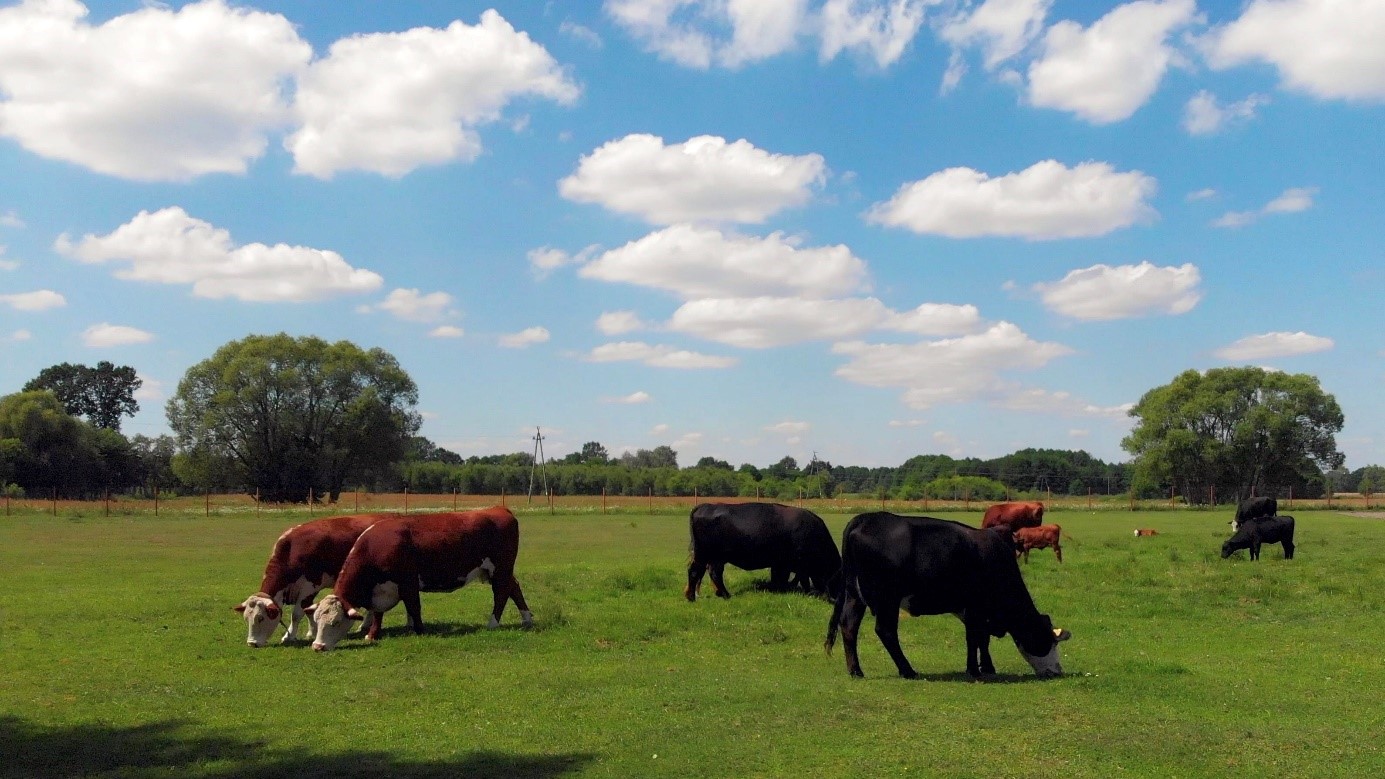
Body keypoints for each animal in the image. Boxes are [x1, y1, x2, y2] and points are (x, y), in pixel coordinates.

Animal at [232, 512, 393, 645]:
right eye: (246, 618)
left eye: (260, 618)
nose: (252, 643)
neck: (291, 550)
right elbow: (309, 611)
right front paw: (312, 632)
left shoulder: (309, 587)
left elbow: (297, 614)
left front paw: (289, 636)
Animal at [307, 504, 529, 648]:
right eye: (317, 620)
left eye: (335, 622)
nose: (317, 646)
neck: (376, 546)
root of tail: (498, 509)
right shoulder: (381, 590)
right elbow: (378, 613)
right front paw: (372, 635)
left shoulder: (408, 582)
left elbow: (414, 607)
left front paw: (420, 630)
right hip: (499, 572)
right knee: (514, 588)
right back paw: (526, 618)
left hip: (500, 570)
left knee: (501, 594)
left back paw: (492, 623)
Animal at [684, 496, 836, 601]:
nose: (832, 598)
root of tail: (705, 506)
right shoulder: (795, 563)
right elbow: (796, 578)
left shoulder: (782, 564)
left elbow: (783, 577)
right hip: (706, 555)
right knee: (698, 572)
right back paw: (700, 596)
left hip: (713, 557)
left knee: (710, 573)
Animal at [819, 510, 1069, 673]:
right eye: (1049, 641)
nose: (1057, 670)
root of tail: (865, 518)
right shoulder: (976, 607)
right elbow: (976, 638)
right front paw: (975, 670)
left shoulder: (972, 610)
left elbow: (981, 639)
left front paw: (986, 666)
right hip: (887, 598)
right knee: (886, 631)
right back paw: (907, 670)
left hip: (854, 595)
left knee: (848, 626)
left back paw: (856, 671)